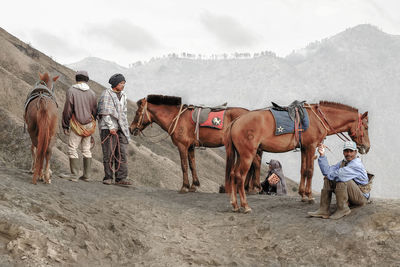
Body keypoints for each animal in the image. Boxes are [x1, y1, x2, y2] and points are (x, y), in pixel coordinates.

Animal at [130, 95, 264, 194]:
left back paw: (254, 188)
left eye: (137, 112)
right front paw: (194, 185)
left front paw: (184, 186)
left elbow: (184, 165)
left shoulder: (182, 146)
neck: (177, 117)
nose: (131, 129)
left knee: (255, 162)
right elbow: (192, 165)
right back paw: (247, 187)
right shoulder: (190, 147)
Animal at [225, 101, 368, 213]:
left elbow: (303, 170)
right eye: (366, 127)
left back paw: (235, 205)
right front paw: (309, 196)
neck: (318, 119)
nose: (366, 147)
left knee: (232, 175)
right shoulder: (311, 147)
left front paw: (303, 195)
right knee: (239, 177)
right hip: (247, 155)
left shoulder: (304, 149)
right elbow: (310, 171)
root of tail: (236, 121)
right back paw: (245, 206)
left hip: (240, 155)